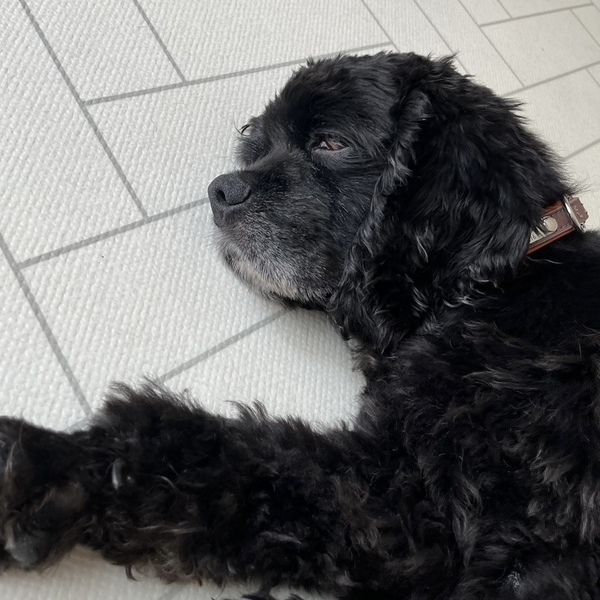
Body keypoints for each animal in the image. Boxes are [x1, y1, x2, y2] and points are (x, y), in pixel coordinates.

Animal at [2, 52, 600, 599]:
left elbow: (212, 454)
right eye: (260, 146)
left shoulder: (409, 491)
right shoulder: (406, 526)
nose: (221, 190)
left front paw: (53, 466)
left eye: (331, 143)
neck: (494, 286)